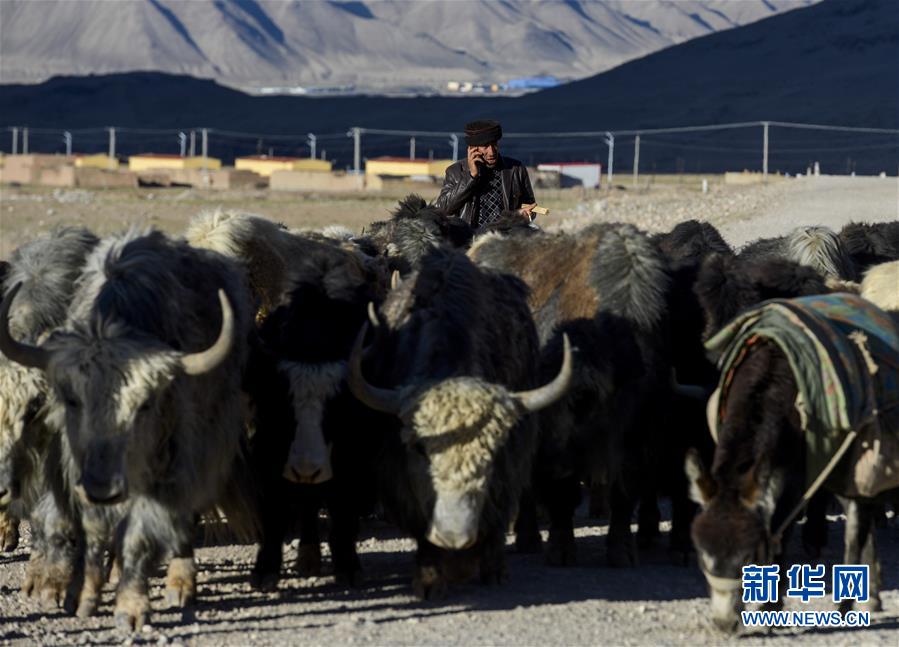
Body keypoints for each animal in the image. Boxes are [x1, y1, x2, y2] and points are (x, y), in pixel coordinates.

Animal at [0, 228, 257, 630]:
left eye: (145, 405)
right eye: (72, 399)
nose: (103, 485)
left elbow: (141, 529)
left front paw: (131, 607)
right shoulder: (71, 466)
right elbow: (81, 524)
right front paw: (76, 593)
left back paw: (180, 583)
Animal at [346, 247, 572, 598]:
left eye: (491, 454)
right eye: (420, 450)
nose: (454, 534)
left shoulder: (508, 466)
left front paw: (494, 571)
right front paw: (428, 581)